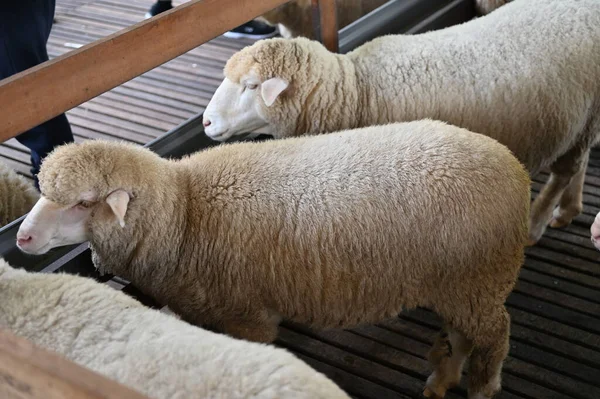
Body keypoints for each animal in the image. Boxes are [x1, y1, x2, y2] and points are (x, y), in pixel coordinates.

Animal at [202, 0, 600, 247]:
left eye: (251, 86)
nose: (205, 122)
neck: (356, 91)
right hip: (585, 117)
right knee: (579, 162)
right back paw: (568, 210)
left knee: (565, 170)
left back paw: (536, 224)